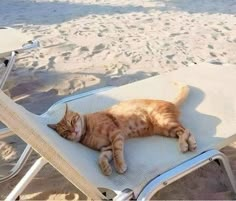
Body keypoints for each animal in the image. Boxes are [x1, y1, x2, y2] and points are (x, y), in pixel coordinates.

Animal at [47, 84, 195, 175]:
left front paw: (119, 166)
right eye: (65, 132)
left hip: (164, 121)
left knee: (186, 130)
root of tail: (170, 102)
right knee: (184, 131)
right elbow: (101, 158)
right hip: (165, 130)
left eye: (72, 121)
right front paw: (106, 169)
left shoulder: (115, 134)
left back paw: (186, 145)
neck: (87, 132)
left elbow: (118, 153)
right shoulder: (106, 148)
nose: (73, 131)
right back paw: (190, 144)